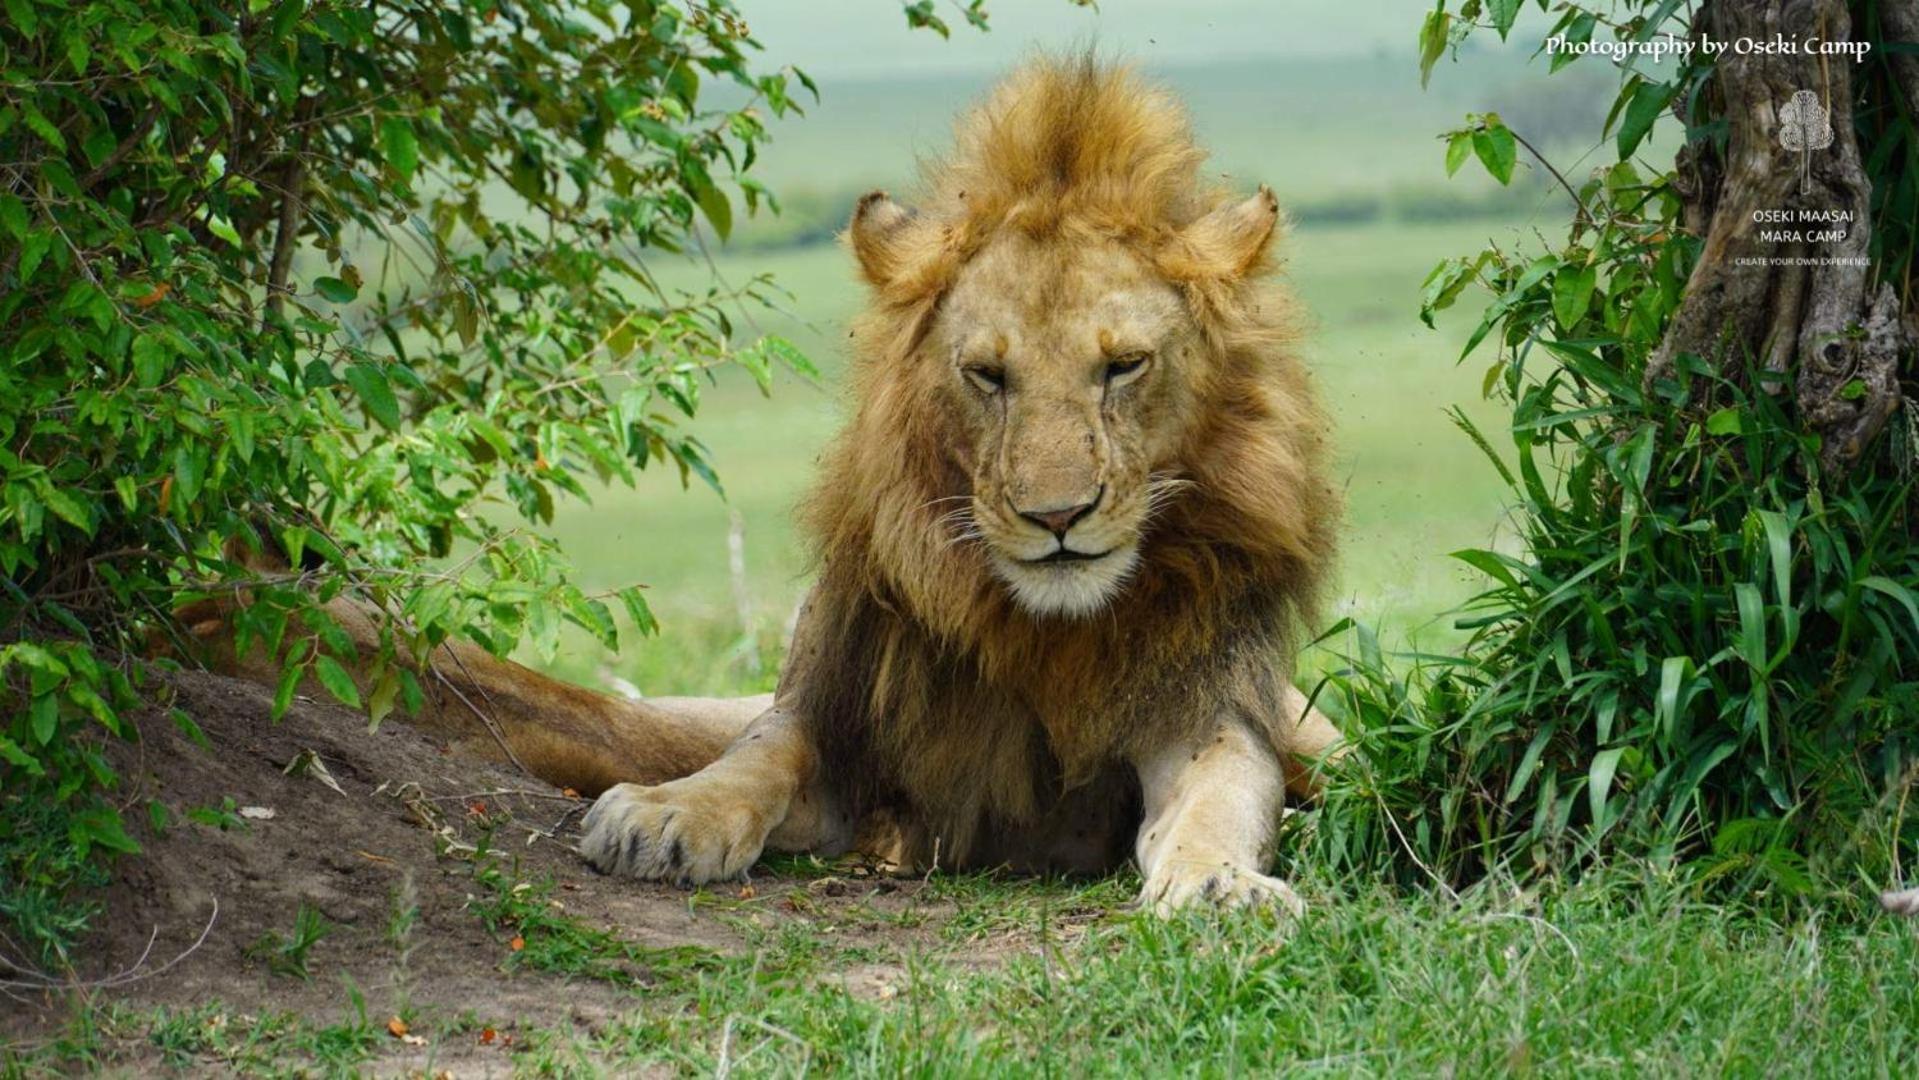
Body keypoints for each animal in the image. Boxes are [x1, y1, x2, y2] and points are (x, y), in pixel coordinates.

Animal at [194, 54, 1343, 916]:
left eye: (1122, 367)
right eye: (987, 375)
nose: (1054, 519)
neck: (1039, 629)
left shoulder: (1208, 712)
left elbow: (1216, 802)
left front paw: (1221, 885)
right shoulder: (836, 716)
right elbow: (752, 759)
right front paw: (661, 817)